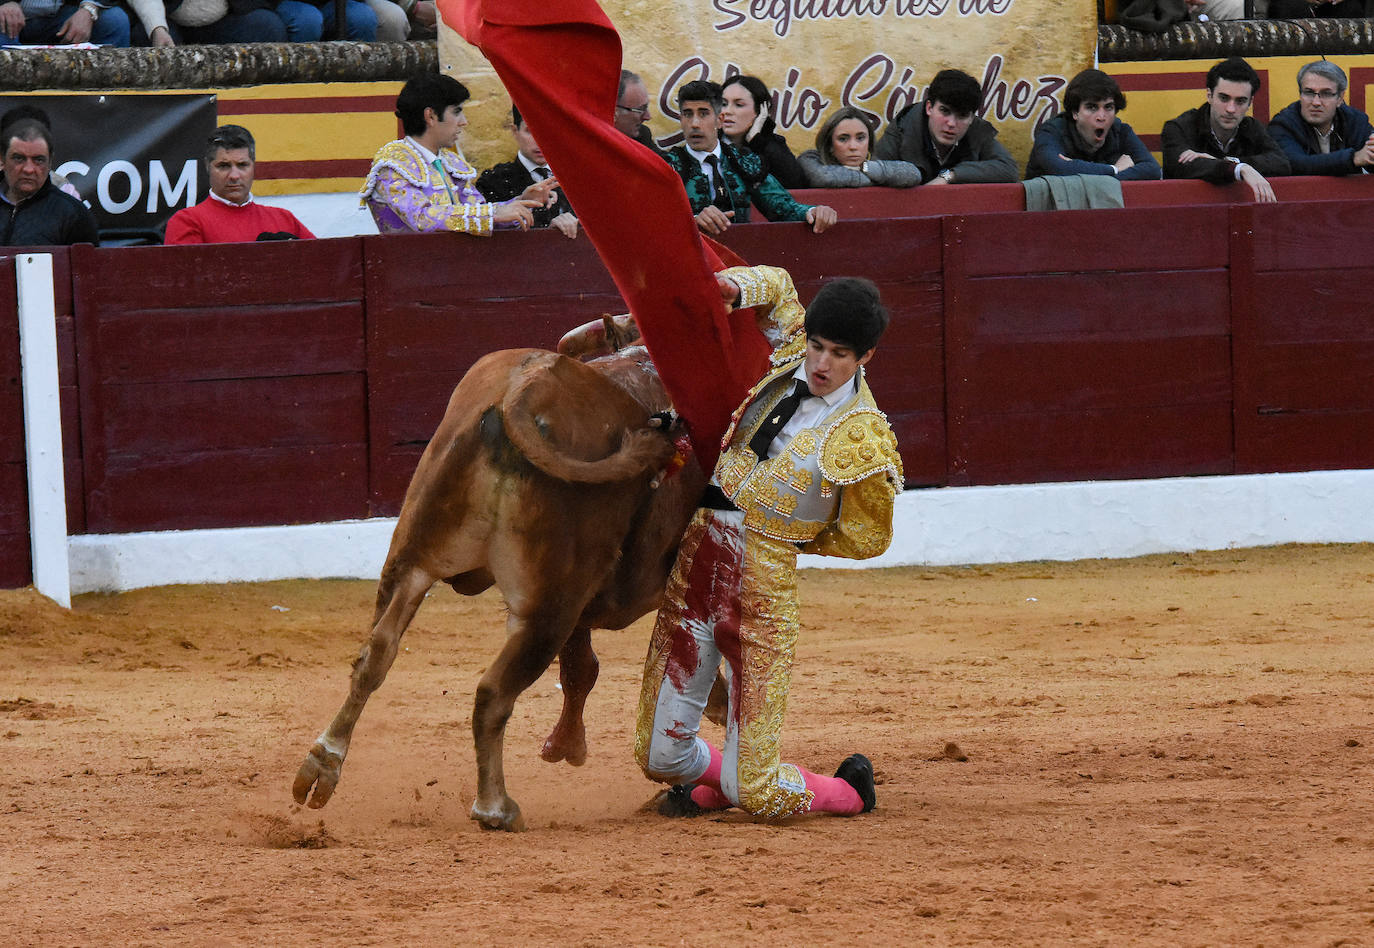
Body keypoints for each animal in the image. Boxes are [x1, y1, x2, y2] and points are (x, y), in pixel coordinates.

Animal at [287, 337, 697, 824]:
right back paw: (494, 807)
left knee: (375, 654)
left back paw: (322, 766)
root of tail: (526, 387)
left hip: (413, 560)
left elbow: (583, 668)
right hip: (548, 609)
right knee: (493, 694)